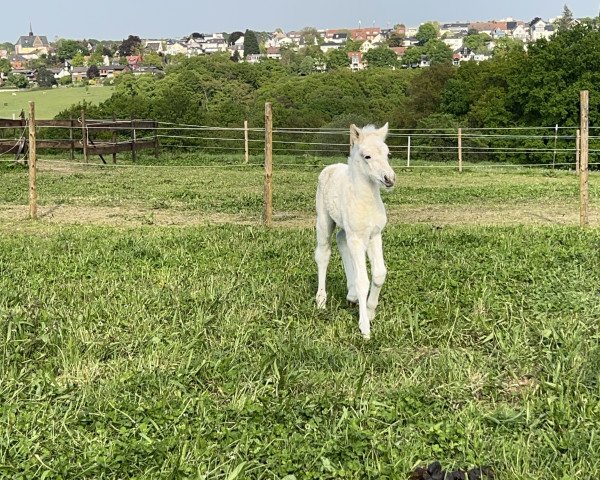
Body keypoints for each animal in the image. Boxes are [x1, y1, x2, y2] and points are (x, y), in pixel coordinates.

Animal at [316, 124, 396, 340]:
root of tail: (331, 167)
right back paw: (321, 300)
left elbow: (379, 274)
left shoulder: (374, 235)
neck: (366, 200)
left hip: (348, 230)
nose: (389, 178)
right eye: (367, 156)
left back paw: (351, 295)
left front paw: (370, 311)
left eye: (388, 154)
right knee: (323, 253)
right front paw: (365, 327)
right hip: (324, 221)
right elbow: (363, 280)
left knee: (341, 240)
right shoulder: (358, 238)